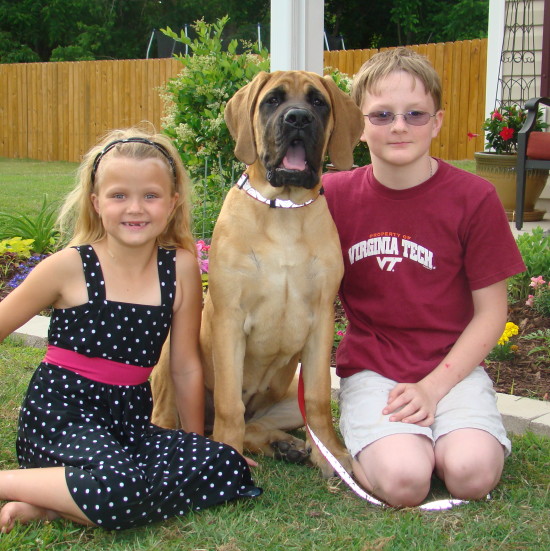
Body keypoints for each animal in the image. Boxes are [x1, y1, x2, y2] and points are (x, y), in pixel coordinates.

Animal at [153, 71, 364, 476]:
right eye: (272, 101)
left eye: (318, 102)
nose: (297, 119)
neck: (284, 208)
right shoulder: (229, 318)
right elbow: (229, 404)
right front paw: (228, 453)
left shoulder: (321, 320)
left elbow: (318, 400)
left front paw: (330, 454)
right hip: (173, 352)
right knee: (169, 419)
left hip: (288, 393)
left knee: (259, 423)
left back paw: (286, 445)